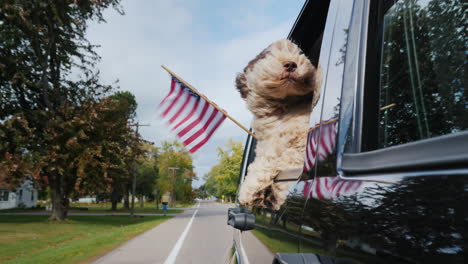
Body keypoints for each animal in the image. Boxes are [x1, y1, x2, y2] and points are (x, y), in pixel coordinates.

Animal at [236, 38, 320, 210]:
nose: (291, 64)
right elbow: (266, 157)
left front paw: (250, 191)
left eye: (299, 53)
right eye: (267, 55)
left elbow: (277, 158)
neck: (283, 106)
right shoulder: (267, 141)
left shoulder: (299, 138)